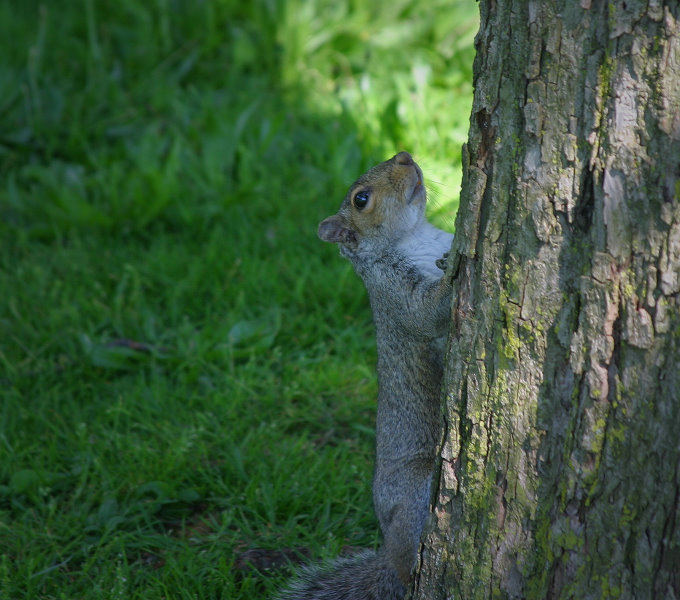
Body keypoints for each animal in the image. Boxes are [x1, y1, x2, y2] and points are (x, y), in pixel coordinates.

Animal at [278, 152, 454, 596]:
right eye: (361, 199)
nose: (406, 157)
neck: (417, 237)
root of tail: (389, 554)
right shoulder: (394, 290)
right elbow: (425, 313)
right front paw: (456, 267)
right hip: (417, 491)